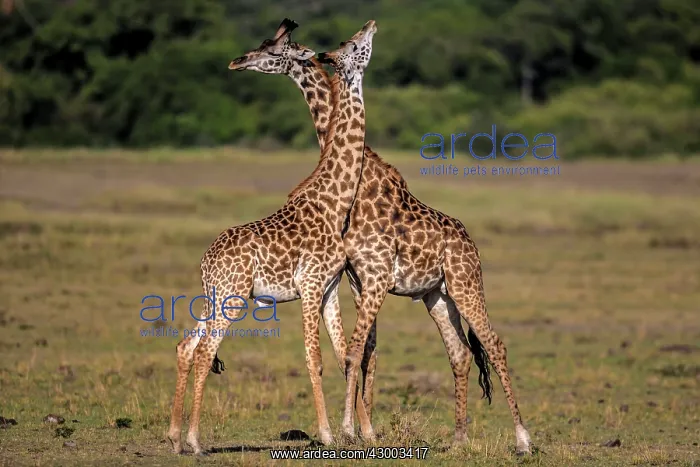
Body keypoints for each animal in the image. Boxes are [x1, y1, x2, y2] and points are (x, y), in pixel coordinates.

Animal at [166, 20, 378, 454]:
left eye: (275, 47)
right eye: (353, 46)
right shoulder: (310, 285)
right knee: (205, 352)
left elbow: (343, 355)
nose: (370, 25)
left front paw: (356, 432)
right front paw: (328, 434)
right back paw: (195, 440)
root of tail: (206, 261)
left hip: (216, 294)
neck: (334, 203)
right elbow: (314, 359)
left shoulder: (329, 288)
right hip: (231, 298)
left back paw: (176, 437)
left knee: (187, 346)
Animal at [228, 19, 533, 454]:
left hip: (465, 284)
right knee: (460, 353)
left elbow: (358, 351)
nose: (238, 61)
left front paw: (354, 429)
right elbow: (364, 351)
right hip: (436, 295)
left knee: (494, 344)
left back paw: (523, 439)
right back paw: (459, 438)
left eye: (272, 49)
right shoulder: (359, 280)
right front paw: (362, 428)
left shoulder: (373, 278)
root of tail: (470, 243)